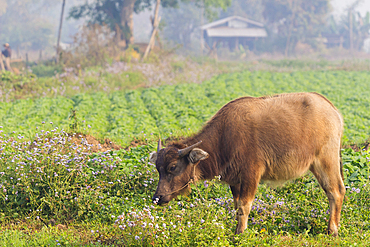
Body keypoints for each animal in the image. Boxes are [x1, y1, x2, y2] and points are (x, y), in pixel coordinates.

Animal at [149, 92, 346, 235]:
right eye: (158, 169)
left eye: (173, 167)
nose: (157, 198)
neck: (224, 138)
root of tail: (333, 110)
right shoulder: (235, 180)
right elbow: (237, 206)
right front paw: (236, 230)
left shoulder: (251, 174)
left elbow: (245, 206)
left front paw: (241, 233)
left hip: (326, 161)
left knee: (335, 191)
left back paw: (333, 230)